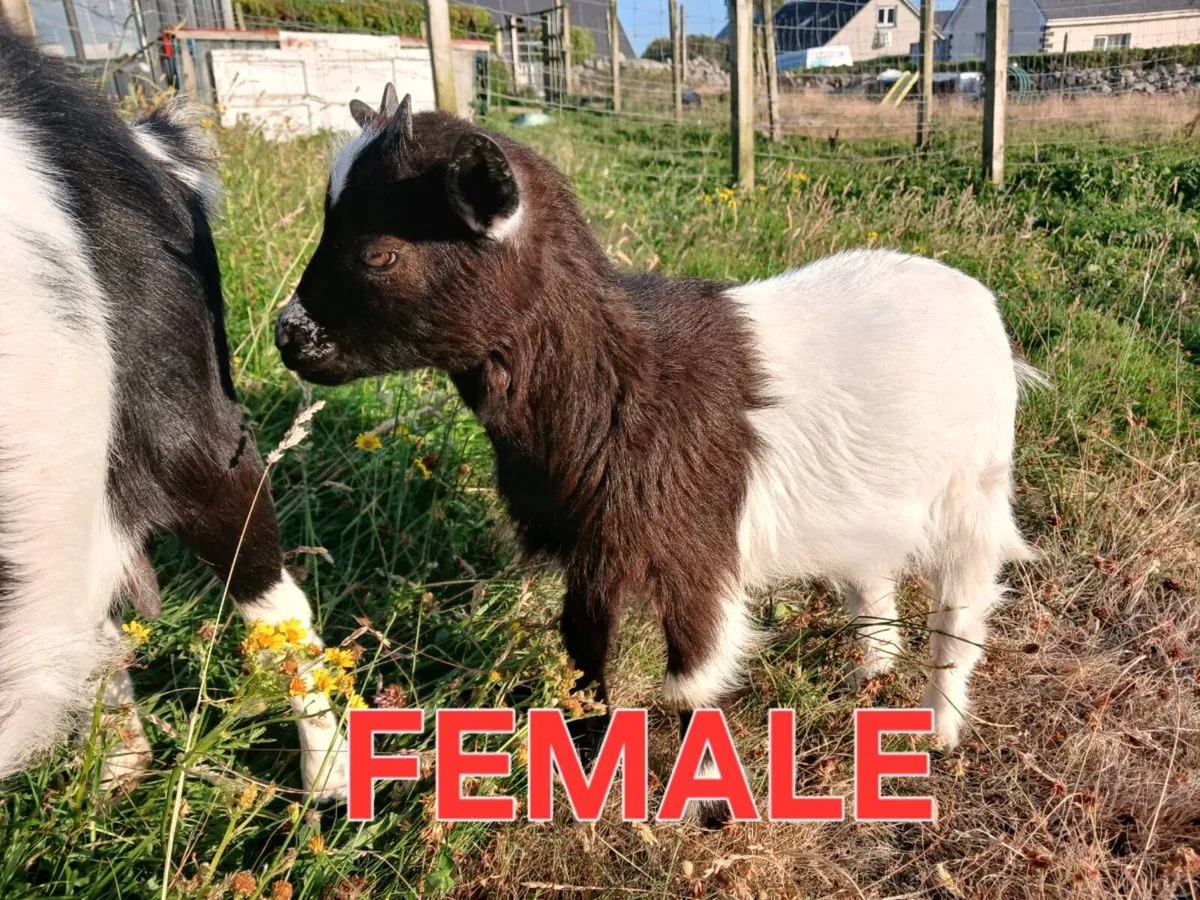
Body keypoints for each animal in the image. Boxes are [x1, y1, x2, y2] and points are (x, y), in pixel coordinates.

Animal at [275, 84, 1042, 824]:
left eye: (381, 253)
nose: (290, 337)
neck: (626, 377)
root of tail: (970, 293)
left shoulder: (697, 555)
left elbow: (689, 688)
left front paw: (705, 809)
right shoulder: (591, 550)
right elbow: (583, 658)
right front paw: (581, 774)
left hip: (975, 487)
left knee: (961, 607)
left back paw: (940, 729)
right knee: (871, 578)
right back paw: (870, 674)